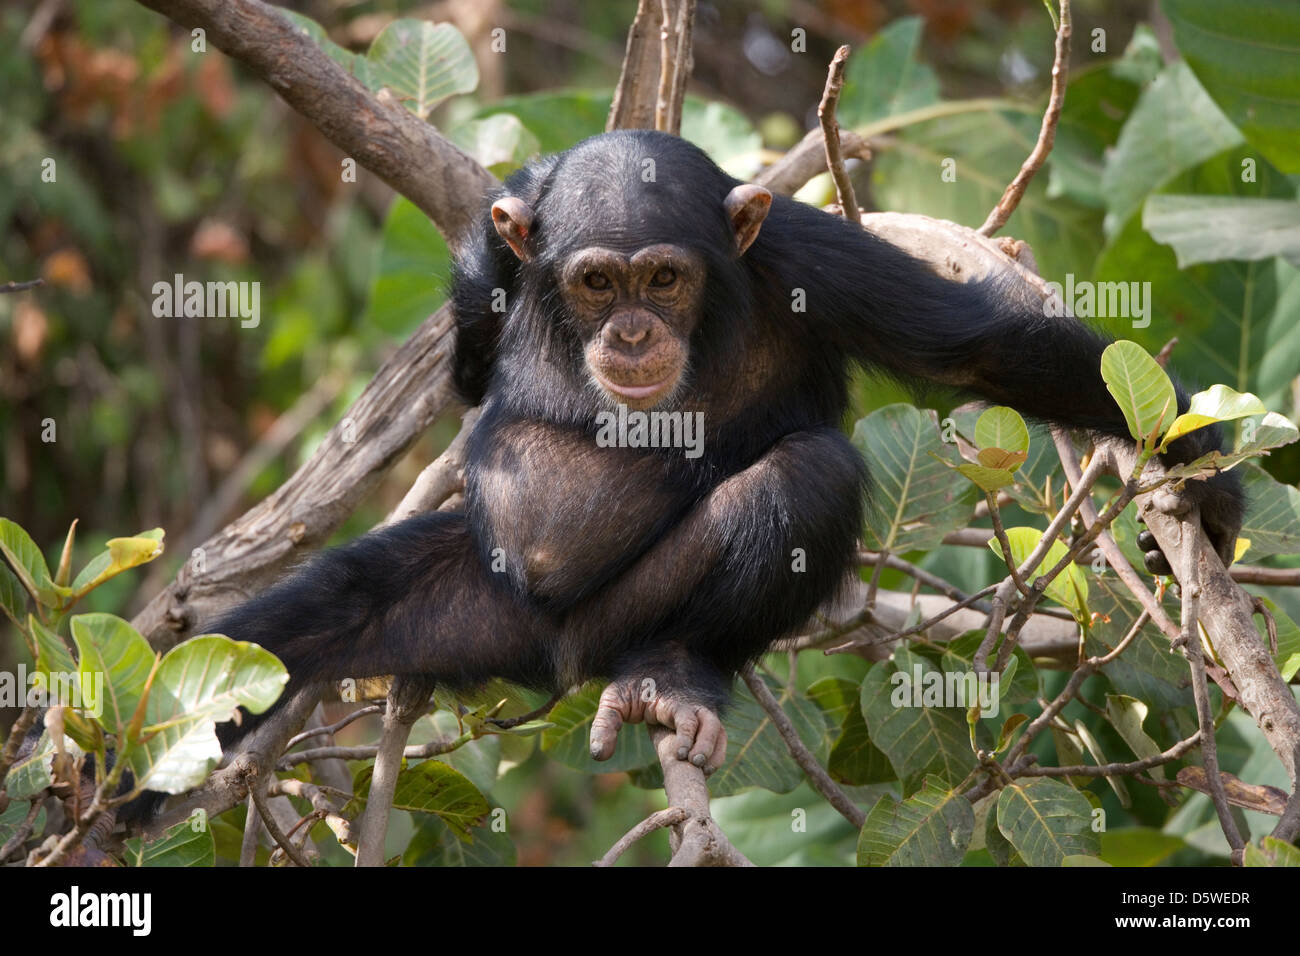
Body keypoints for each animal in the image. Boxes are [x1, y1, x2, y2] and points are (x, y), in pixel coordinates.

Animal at [210, 128, 1237, 770]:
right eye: (596, 283)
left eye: (664, 278)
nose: (630, 332)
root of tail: (555, 657)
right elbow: (468, 378)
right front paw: (514, 211)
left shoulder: (812, 258)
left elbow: (980, 349)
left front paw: (1203, 467)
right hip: (475, 597)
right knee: (313, 615)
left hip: (626, 616)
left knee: (807, 476)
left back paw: (676, 677)